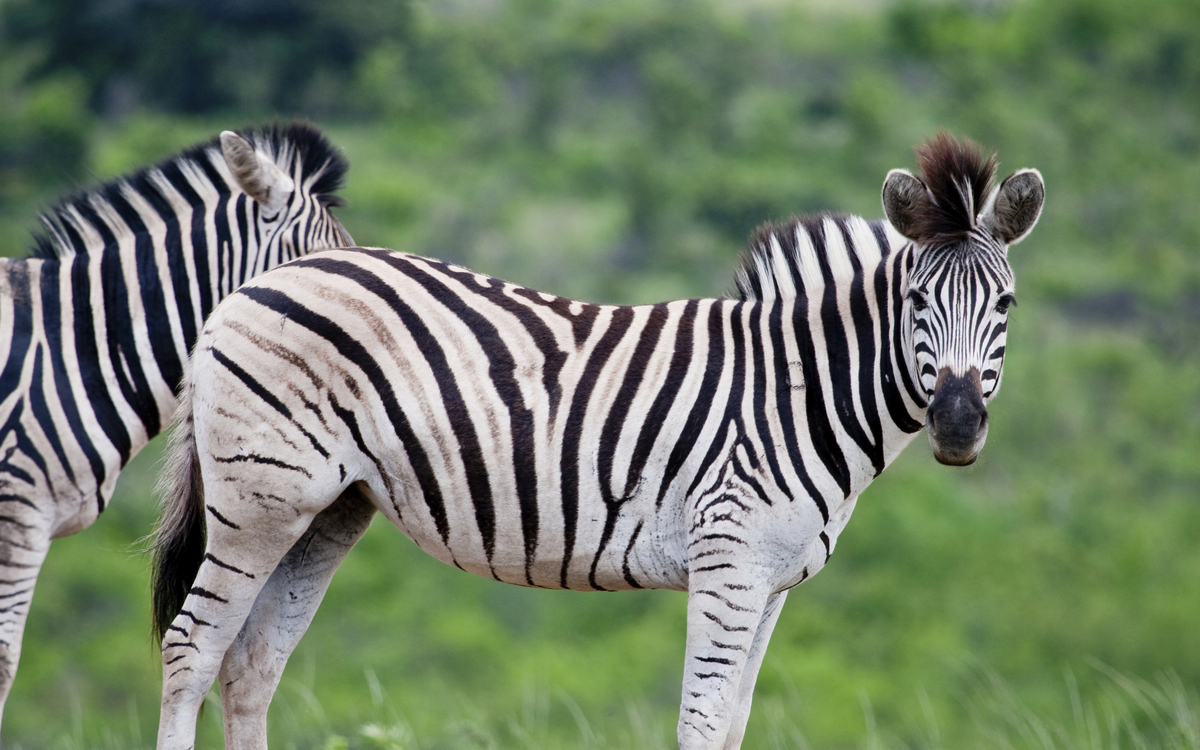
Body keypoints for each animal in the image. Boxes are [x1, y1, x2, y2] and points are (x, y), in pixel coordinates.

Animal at [150, 133, 1043, 749]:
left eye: (1006, 306)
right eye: (918, 301)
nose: (958, 425)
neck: (799, 391)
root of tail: (257, 282)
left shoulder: (773, 582)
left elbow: (734, 723)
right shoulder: (729, 563)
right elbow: (701, 722)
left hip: (328, 509)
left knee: (251, 664)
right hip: (259, 497)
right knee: (192, 649)